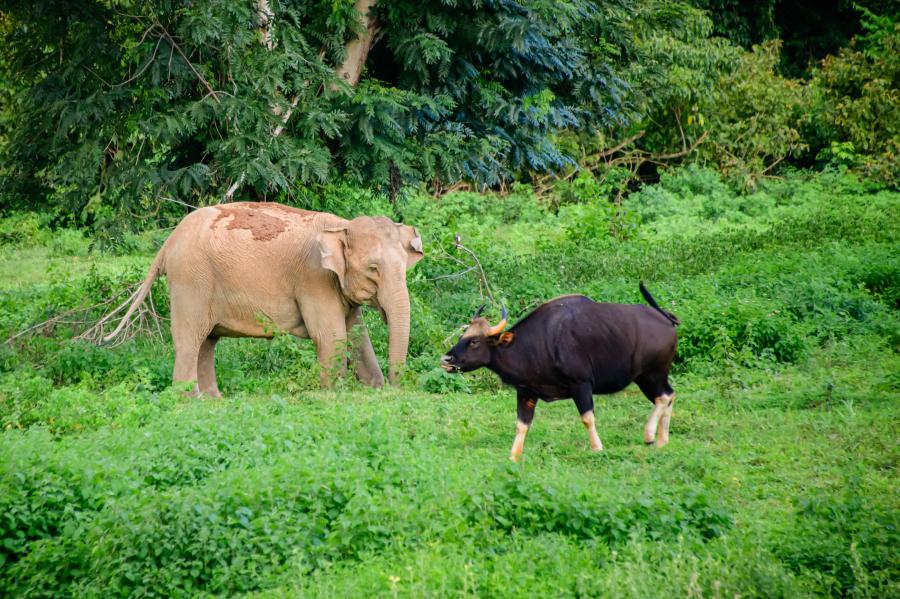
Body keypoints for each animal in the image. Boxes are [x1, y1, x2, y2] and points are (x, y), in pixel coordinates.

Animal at [105, 201, 424, 395]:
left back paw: (214, 400)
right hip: (191, 280)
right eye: (373, 269)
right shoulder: (314, 279)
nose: (396, 387)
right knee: (189, 339)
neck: (342, 225)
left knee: (206, 341)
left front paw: (375, 390)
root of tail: (168, 242)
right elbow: (332, 336)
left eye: (404, 268)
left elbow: (357, 334)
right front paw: (334, 394)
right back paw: (190, 402)